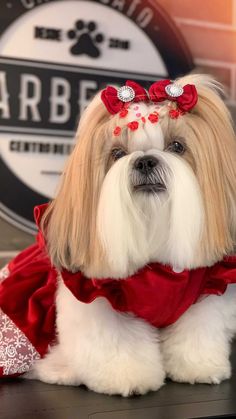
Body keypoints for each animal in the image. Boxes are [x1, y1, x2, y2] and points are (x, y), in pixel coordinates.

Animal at [0, 73, 236, 398]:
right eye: (117, 154)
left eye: (177, 146)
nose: (145, 161)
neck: (156, 268)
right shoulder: (95, 298)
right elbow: (117, 342)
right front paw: (127, 376)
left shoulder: (207, 289)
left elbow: (198, 330)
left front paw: (198, 366)